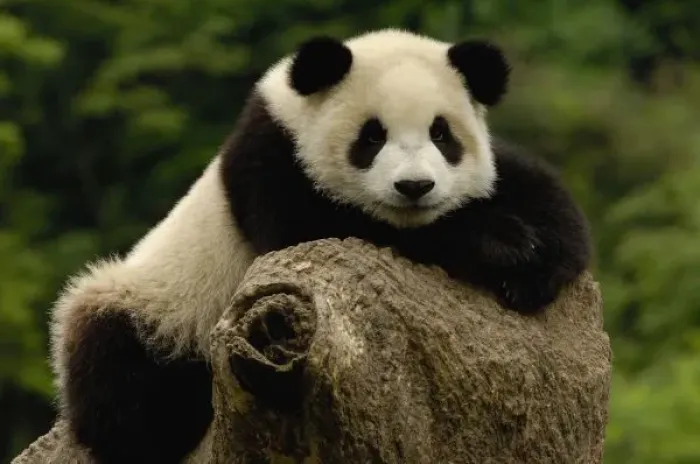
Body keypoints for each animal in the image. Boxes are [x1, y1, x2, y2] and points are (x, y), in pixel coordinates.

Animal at [49, 28, 591, 463]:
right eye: (371, 137)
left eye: (442, 134)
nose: (415, 187)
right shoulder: (272, 163)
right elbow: (319, 229)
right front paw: (500, 245)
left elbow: (533, 188)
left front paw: (538, 259)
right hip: (156, 303)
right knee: (121, 376)